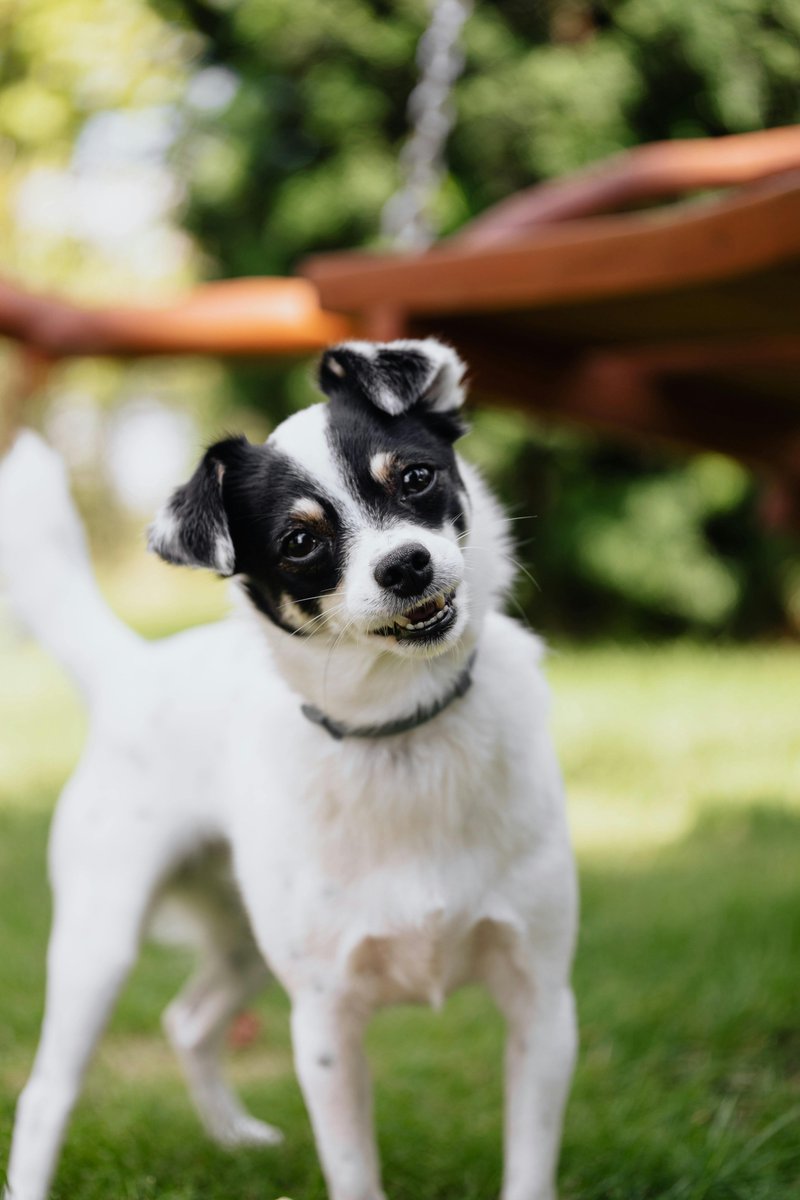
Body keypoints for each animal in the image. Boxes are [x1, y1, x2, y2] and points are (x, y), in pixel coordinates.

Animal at [0, 338, 575, 1200]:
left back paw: (233, 1136)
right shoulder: (326, 1027)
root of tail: (132, 667)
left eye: (416, 477)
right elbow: (354, 1173)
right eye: (300, 543)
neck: (400, 732)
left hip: (243, 940)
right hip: (98, 947)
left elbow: (529, 1168)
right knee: (47, 1093)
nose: (406, 566)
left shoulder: (542, 1003)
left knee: (189, 1021)